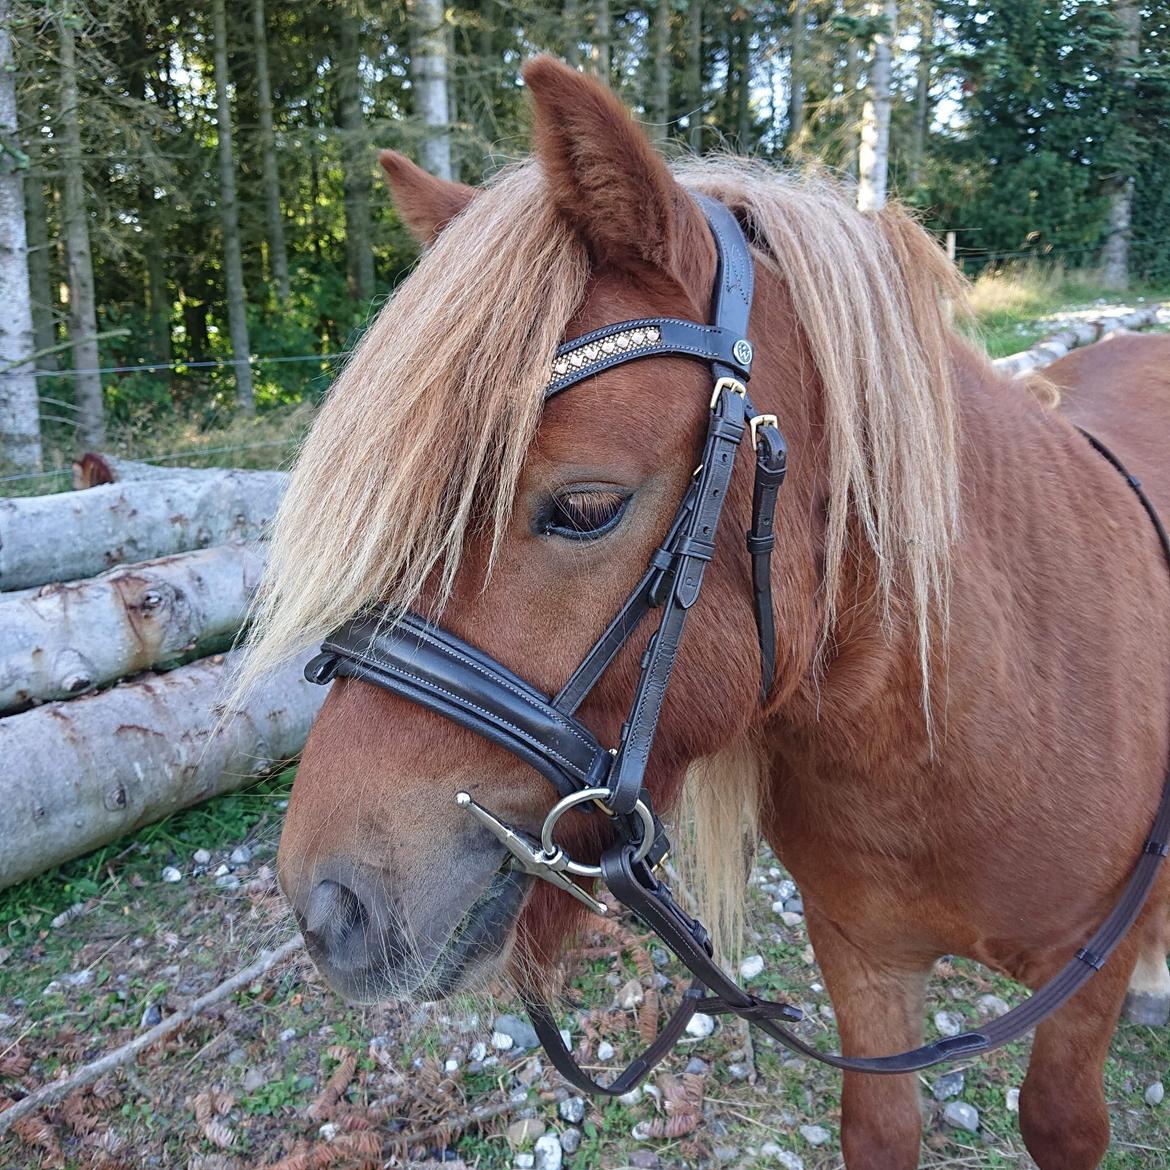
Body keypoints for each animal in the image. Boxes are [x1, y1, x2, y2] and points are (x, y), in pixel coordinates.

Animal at [242, 59, 1165, 1170]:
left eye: (585, 508)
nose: (324, 907)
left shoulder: (1082, 988)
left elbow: (1062, 1119)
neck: (963, 729)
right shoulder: (864, 963)